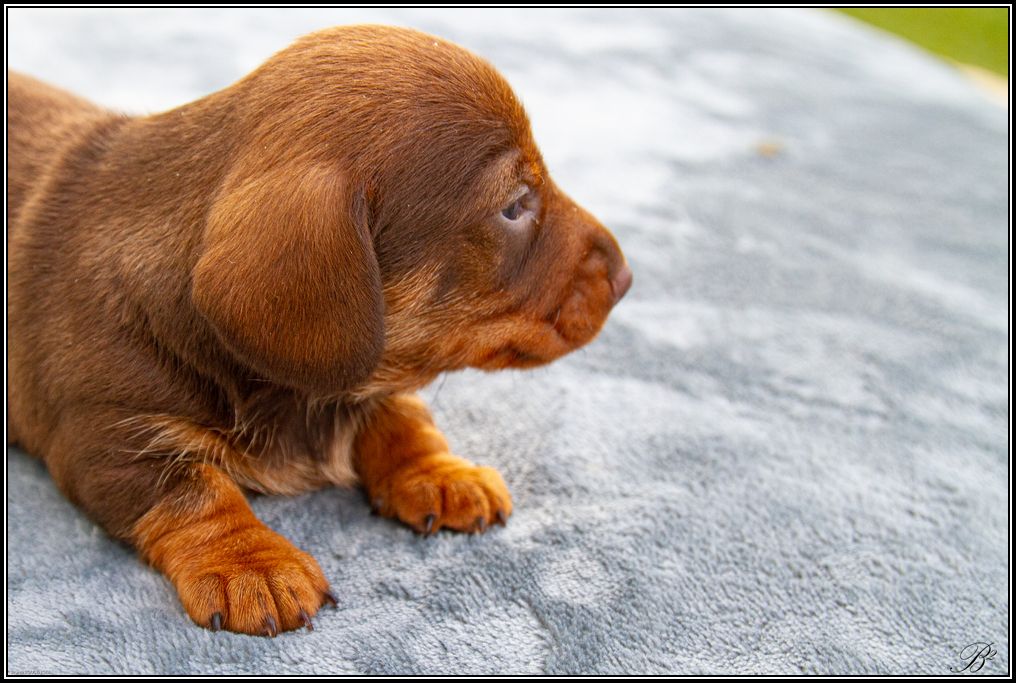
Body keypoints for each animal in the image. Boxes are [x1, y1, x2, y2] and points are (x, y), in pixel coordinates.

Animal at [7, 25, 632, 636]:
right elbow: (197, 491)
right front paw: (252, 562)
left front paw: (442, 473)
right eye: (514, 206)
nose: (627, 278)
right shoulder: (105, 439)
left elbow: (403, 418)